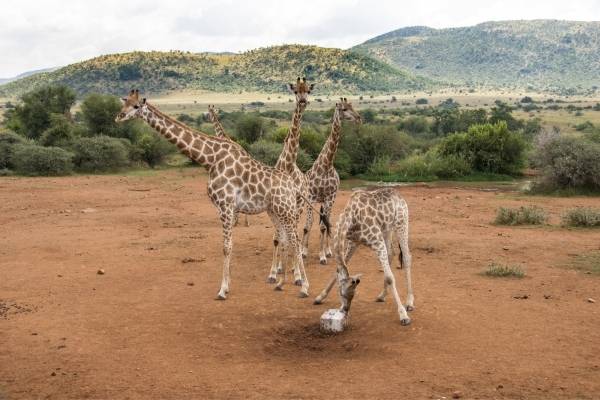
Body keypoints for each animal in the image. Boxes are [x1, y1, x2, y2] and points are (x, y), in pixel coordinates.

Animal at [117, 89, 314, 298]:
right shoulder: (224, 207)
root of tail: (292, 184)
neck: (210, 160)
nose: (119, 116)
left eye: (136, 106)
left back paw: (303, 286)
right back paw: (280, 283)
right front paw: (227, 285)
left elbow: (226, 247)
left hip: (287, 209)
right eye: (124, 102)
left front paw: (223, 290)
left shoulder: (226, 205)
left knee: (295, 239)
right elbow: (228, 245)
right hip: (275, 211)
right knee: (285, 238)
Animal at [300, 98, 360, 264]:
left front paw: (322, 256)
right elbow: (308, 225)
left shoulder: (329, 197)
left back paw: (328, 251)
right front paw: (303, 251)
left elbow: (323, 226)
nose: (359, 118)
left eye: (352, 106)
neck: (326, 165)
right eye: (344, 109)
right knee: (318, 222)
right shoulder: (311, 197)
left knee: (326, 223)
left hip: (330, 201)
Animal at [312, 188, 414, 324]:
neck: (351, 216)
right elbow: (338, 270)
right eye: (343, 293)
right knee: (391, 253)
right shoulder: (354, 242)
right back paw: (382, 295)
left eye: (352, 294)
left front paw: (403, 315)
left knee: (407, 257)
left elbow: (390, 277)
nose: (345, 309)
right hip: (386, 229)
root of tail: (398, 194)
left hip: (401, 223)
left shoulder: (377, 241)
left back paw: (409, 302)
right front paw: (320, 297)